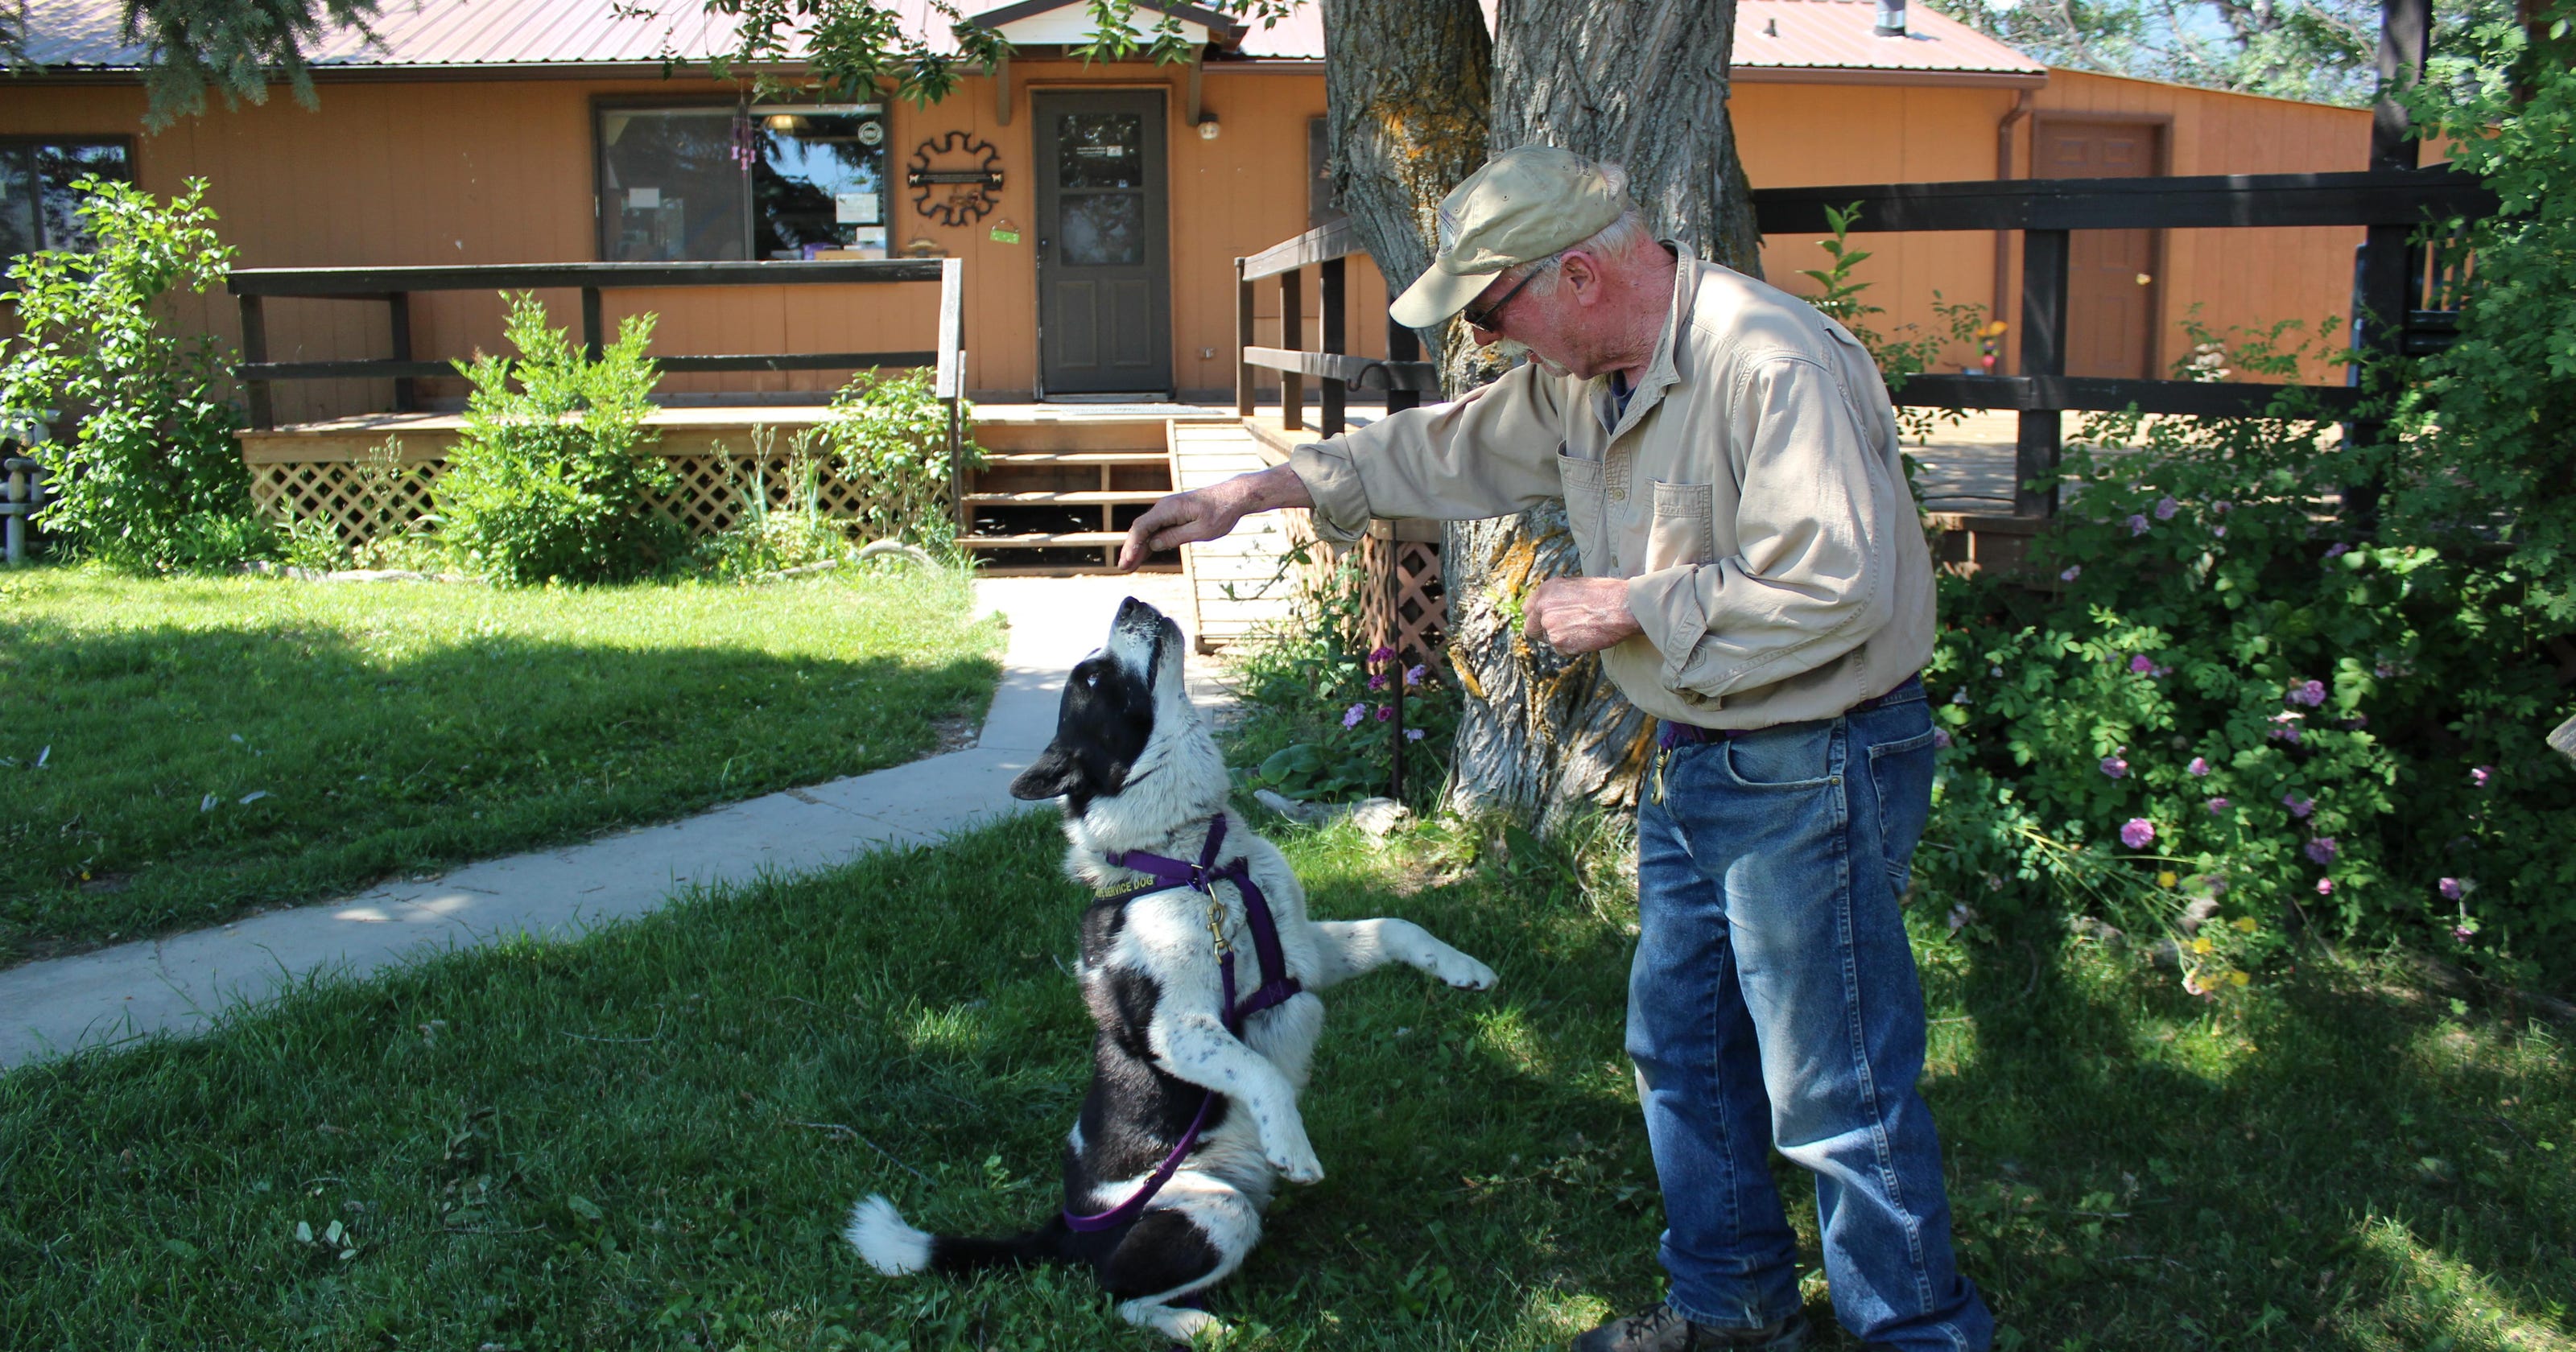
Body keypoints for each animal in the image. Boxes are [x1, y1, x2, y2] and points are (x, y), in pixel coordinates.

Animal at [850, 597, 1494, 1339]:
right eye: (1092, 679)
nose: (1131, 602)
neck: (1193, 860)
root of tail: (1062, 1231)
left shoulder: (1301, 959)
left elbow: (1398, 926)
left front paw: (1465, 968)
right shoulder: (1179, 1029)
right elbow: (1262, 1073)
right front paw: (1294, 1146)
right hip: (1212, 1211)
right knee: (1117, 1297)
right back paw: (1205, 1328)